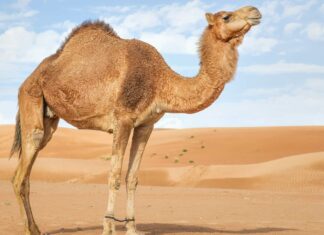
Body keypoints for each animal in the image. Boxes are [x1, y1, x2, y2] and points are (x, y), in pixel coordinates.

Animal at [10, 5, 260, 235]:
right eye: (226, 16)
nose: (255, 11)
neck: (159, 80)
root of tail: (29, 78)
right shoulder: (123, 119)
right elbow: (114, 175)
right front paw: (109, 227)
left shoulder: (145, 125)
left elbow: (132, 178)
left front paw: (131, 227)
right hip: (31, 98)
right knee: (21, 173)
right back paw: (28, 229)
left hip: (49, 119)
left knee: (26, 172)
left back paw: (36, 228)